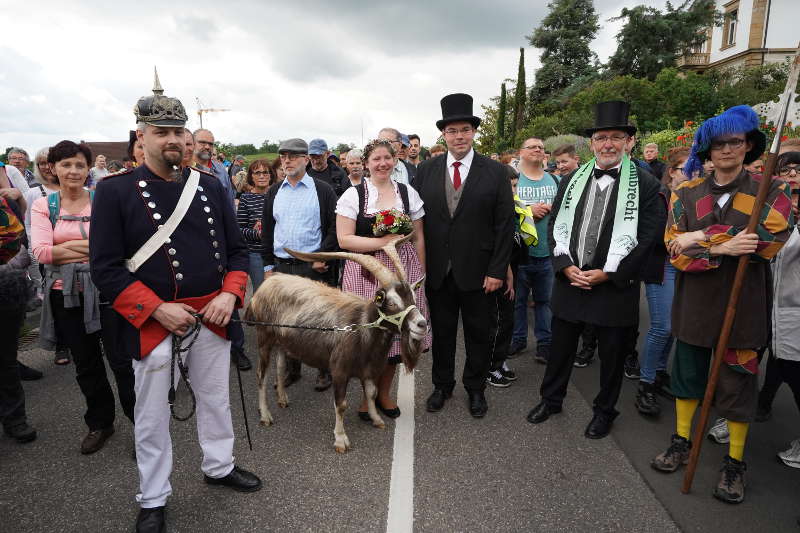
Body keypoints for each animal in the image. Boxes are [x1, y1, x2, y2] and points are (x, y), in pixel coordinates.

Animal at [247, 235, 428, 450]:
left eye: (413, 297)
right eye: (391, 302)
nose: (422, 324)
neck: (360, 328)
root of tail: (265, 285)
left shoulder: (369, 368)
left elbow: (372, 393)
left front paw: (376, 419)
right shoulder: (339, 371)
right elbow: (341, 405)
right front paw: (341, 439)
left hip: (283, 340)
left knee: (281, 365)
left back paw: (282, 399)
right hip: (264, 337)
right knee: (261, 375)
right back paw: (265, 415)